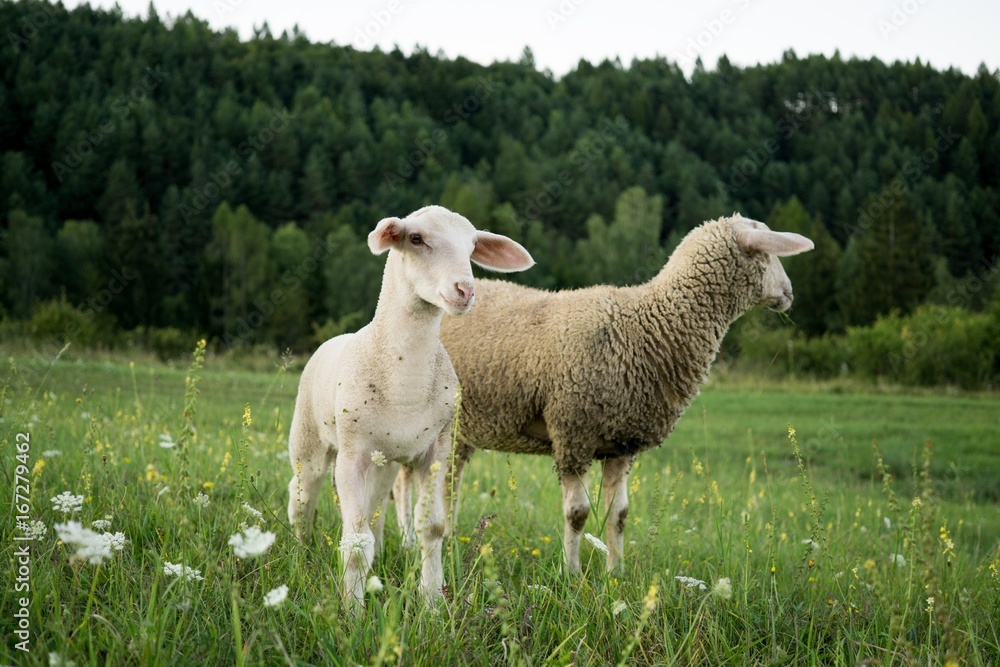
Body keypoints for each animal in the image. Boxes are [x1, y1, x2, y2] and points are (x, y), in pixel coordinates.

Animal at [287, 205, 534, 609]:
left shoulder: (435, 450)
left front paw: (431, 601)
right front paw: (353, 612)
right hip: (309, 441)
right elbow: (354, 542)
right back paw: (299, 554)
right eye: (416, 239)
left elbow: (431, 528)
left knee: (375, 512)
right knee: (302, 498)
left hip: (384, 462)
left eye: (472, 247)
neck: (405, 385)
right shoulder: (352, 454)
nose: (465, 290)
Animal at [434, 214, 813, 573]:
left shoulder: (620, 444)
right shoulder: (573, 434)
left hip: (460, 429)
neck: (649, 325)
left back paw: (448, 539)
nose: (790, 293)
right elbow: (578, 514)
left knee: (450, 483)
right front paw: (571, 573)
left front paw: (616, 574)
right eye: (769, 253)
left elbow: (619, 515)